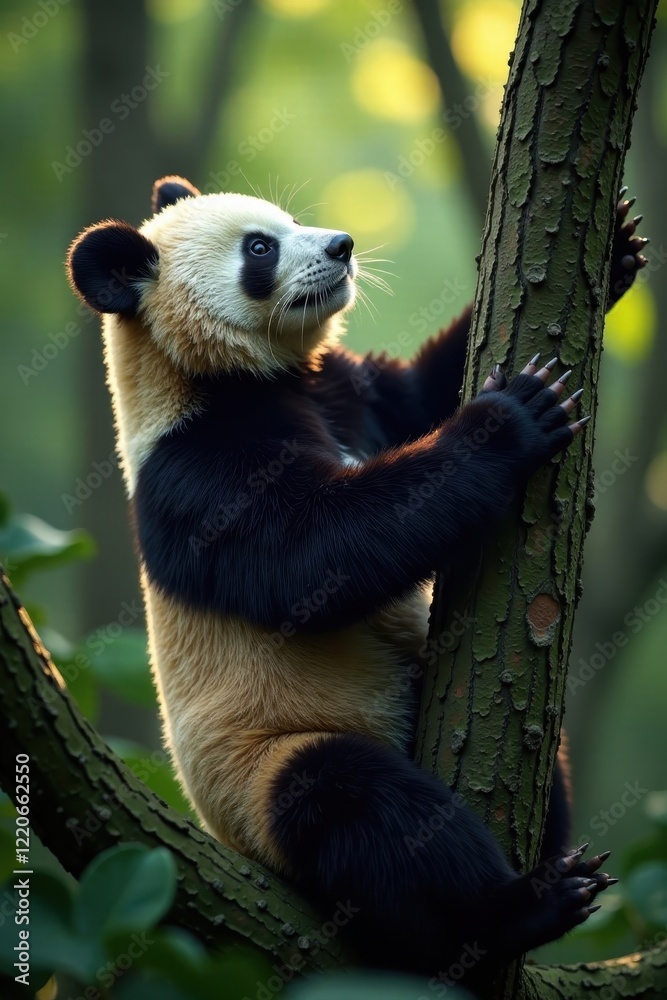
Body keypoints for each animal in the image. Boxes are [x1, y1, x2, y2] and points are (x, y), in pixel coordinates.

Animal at [67, 176, 645, 977]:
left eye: (287, 219)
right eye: (259, 247)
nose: (341, 246)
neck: (224, 378)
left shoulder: (346, 391)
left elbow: (415, 395)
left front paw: (617, 244)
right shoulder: (198, 473)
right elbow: (319, 555)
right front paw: (511, 419)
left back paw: (555, 865)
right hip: (263, 773)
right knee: (360, 808)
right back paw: (515, 910)